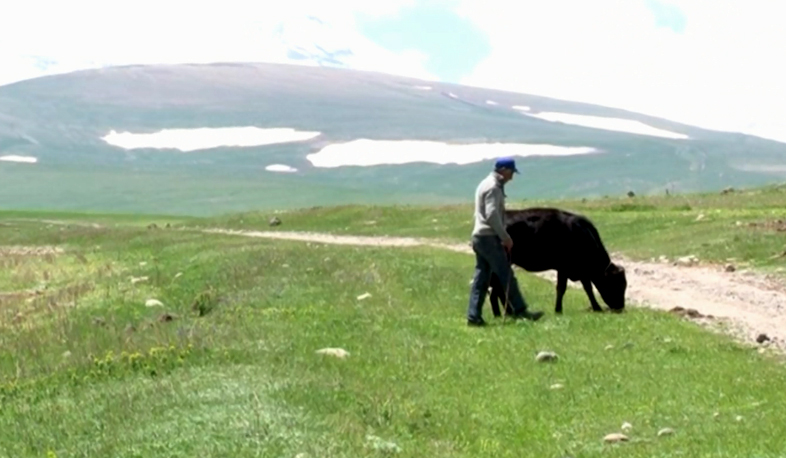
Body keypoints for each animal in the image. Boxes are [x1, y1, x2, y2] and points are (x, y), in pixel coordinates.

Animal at [486, 208, 628, 314]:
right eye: (617, 284)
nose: (620, 307)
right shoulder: (565, 268)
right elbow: (562, 288)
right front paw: (559, 310)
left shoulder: (580, 271)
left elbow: (587, 288)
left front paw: (595, 307)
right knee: (498, 288)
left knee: (497, 288)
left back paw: (502, 313)